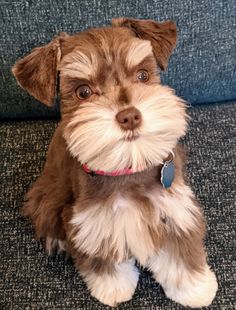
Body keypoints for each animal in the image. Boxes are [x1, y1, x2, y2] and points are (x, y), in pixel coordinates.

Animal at [11, 17, 218, 308]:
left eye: (142, 75)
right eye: (83, 92)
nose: (129, 116)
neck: (127, 169)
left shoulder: (175, 209)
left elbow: (181, 252)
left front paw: (195, 288)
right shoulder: (92, 225)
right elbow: (103, 261)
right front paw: (113, 287)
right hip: (48, 192)